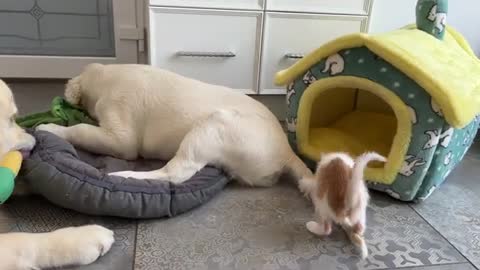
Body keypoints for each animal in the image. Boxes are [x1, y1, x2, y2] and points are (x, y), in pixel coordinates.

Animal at [37, 63, 312, 187]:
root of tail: (286, 150)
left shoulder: (120, 137)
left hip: (212, 126)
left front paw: (50, 128)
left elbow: (81, 130)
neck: (108, 76)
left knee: (174, 173)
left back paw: (126, 176)